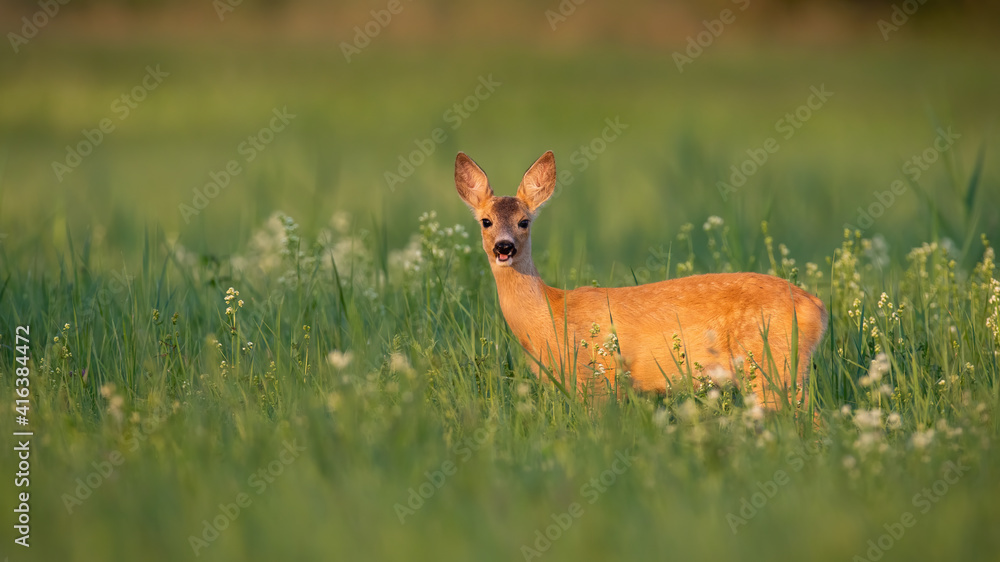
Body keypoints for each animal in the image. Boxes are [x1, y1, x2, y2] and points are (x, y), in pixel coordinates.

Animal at [454, 150, 828, 410]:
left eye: (524, 221)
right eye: (486, 221)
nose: (504, 247)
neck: (550, 314)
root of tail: (818, 307)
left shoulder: (600, 377)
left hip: (772, 366)